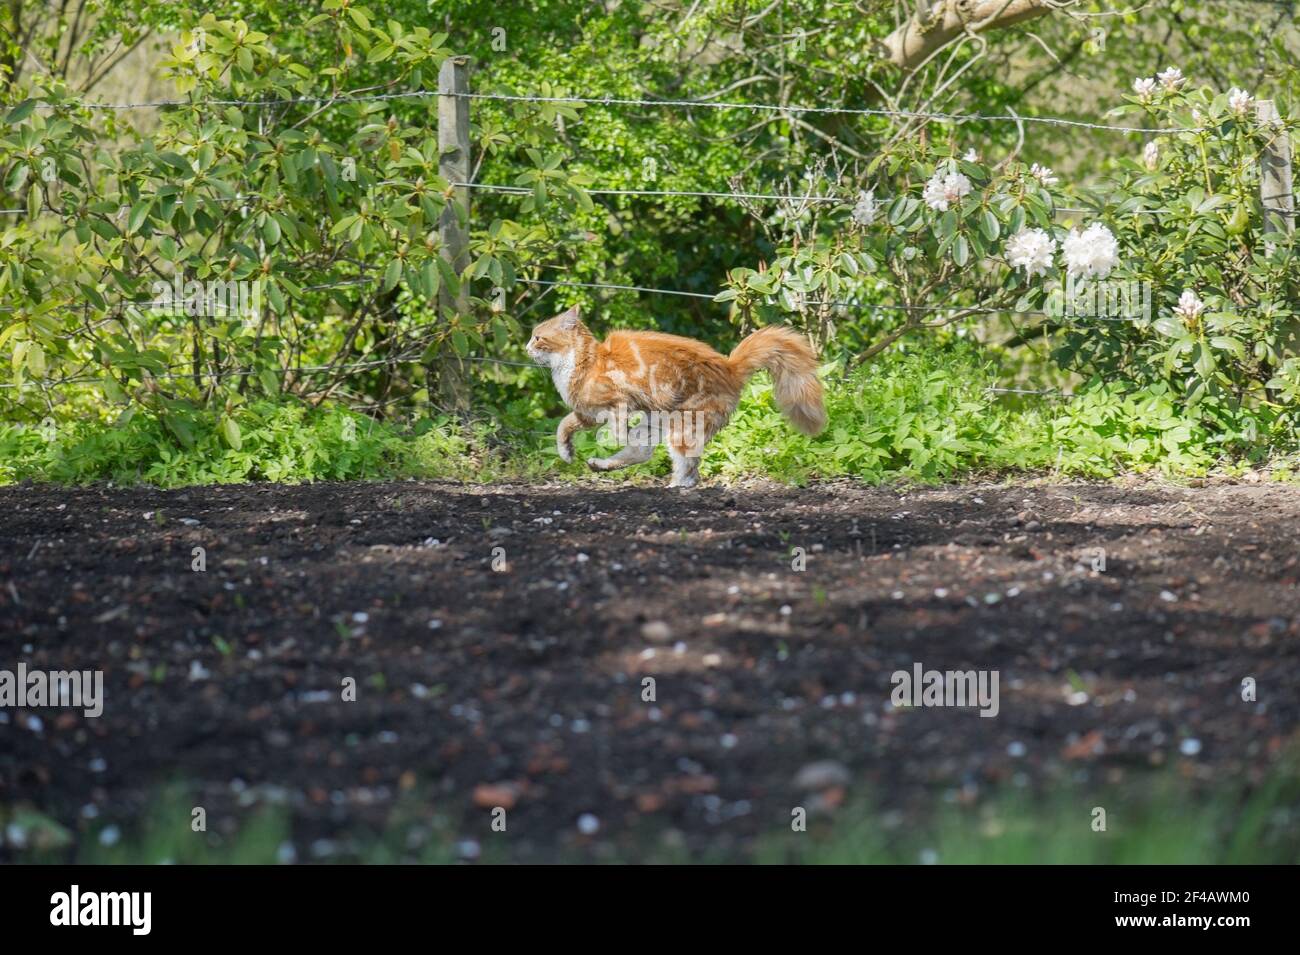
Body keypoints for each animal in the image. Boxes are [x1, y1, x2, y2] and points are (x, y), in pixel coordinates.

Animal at [525, 306, 821, 488]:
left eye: (538, 338)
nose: (526, 347)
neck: (581, 362)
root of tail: (730, 366)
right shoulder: (587, 414)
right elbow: (563, 426)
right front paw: (566, 453)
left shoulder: (618, 402)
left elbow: (615, 429)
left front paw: (606, 438)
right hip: (655, 423)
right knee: (643, 453)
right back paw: (601, 465)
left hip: (682, 426)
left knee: (687, 466)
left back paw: (676, 486)